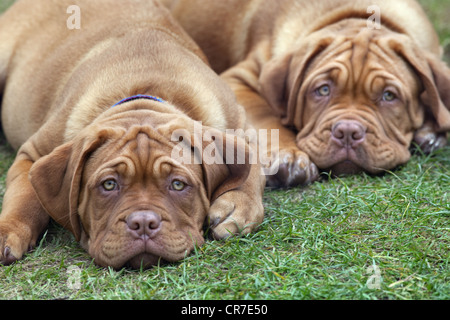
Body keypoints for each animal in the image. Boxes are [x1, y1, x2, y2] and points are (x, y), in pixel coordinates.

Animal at [0, 0, 264, 270]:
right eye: (109, 184)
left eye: (178, 184)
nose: (144, 223)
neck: (143, 94)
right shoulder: (33, 153)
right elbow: (24, 196)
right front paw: (8, 229)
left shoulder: (244, 128)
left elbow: (250, 167)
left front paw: (238, 203)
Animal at [163, 0, 450, 188]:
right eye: (322, 90)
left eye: (389, 96)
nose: (348, 131)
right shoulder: (238, 79)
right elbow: (267, 117)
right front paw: (288, 158)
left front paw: (432, 132)